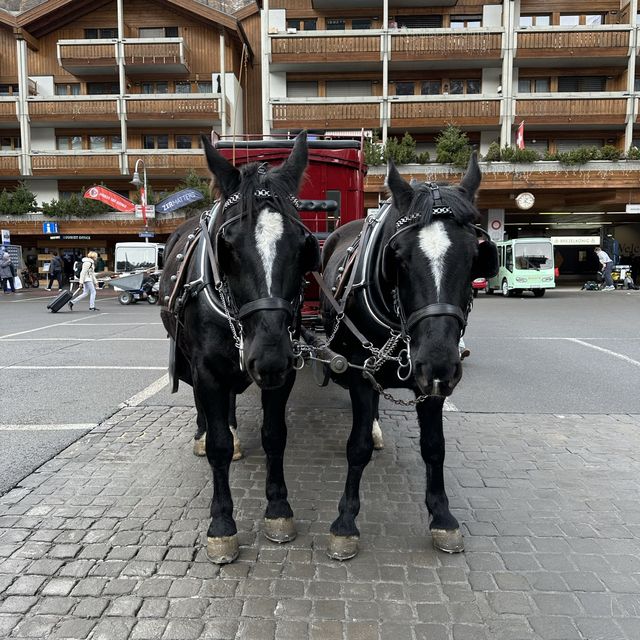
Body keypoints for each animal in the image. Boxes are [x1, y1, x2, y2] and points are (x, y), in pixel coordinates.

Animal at [160, 132, 320, 564]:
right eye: (227, 246)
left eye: (303, 246)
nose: (268, 355)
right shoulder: (208, 370)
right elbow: (217, 444)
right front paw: (222, 524)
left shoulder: (285, 370)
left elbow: (275, 435)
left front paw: (278, 509)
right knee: (205, 410)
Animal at [322, 155, 498, 560]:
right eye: (398, 256)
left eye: (474, 256)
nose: (437, 362)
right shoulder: (361, 372)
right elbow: (357, 447)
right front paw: (345, 521)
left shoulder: (432, 386)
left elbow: (434, 447)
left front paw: (442, 517)